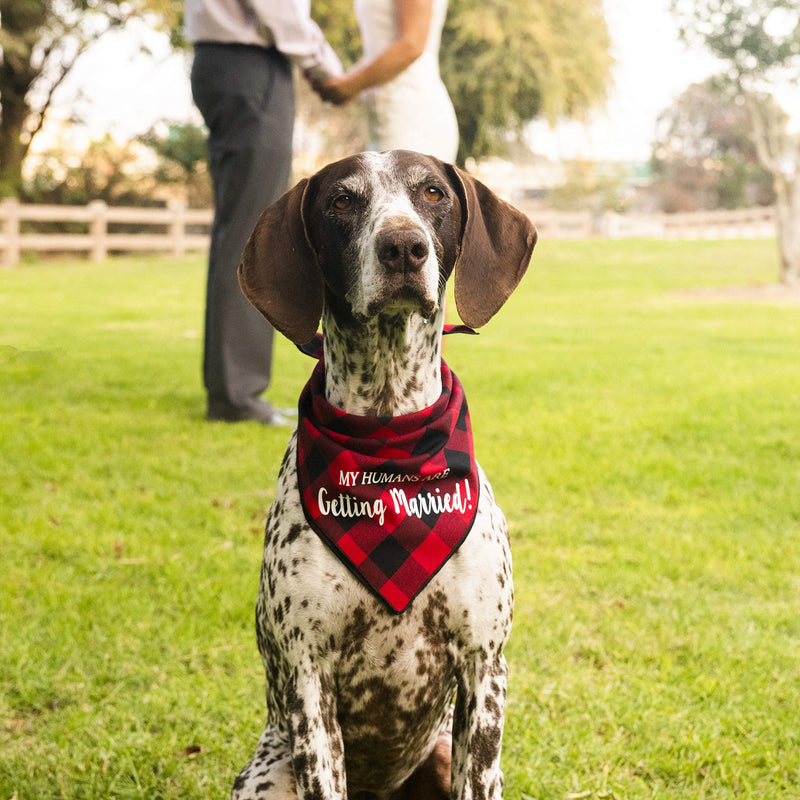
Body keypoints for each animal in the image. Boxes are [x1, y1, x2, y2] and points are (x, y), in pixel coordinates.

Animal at [233, 152, 536, 800]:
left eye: (433, 193)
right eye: (342, 201)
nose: (403, 247)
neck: (390, 440)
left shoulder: (483, 667)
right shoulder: (308, 676)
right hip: (267, 774)